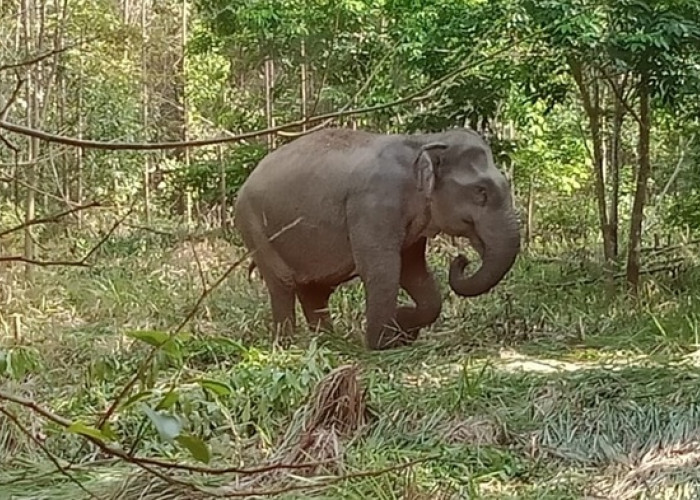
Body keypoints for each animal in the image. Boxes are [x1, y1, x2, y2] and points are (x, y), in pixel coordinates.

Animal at [234, 127, 520, 350]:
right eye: (481, 191)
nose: (462, 260)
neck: (423, 141)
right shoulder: (373, 204)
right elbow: (383, 269)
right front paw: (384, 343)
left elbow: (413, 271)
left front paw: (403, 325)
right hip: (254, 227)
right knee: (282, 284)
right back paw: (287, 346)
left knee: (314, 291)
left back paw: (329, 344)